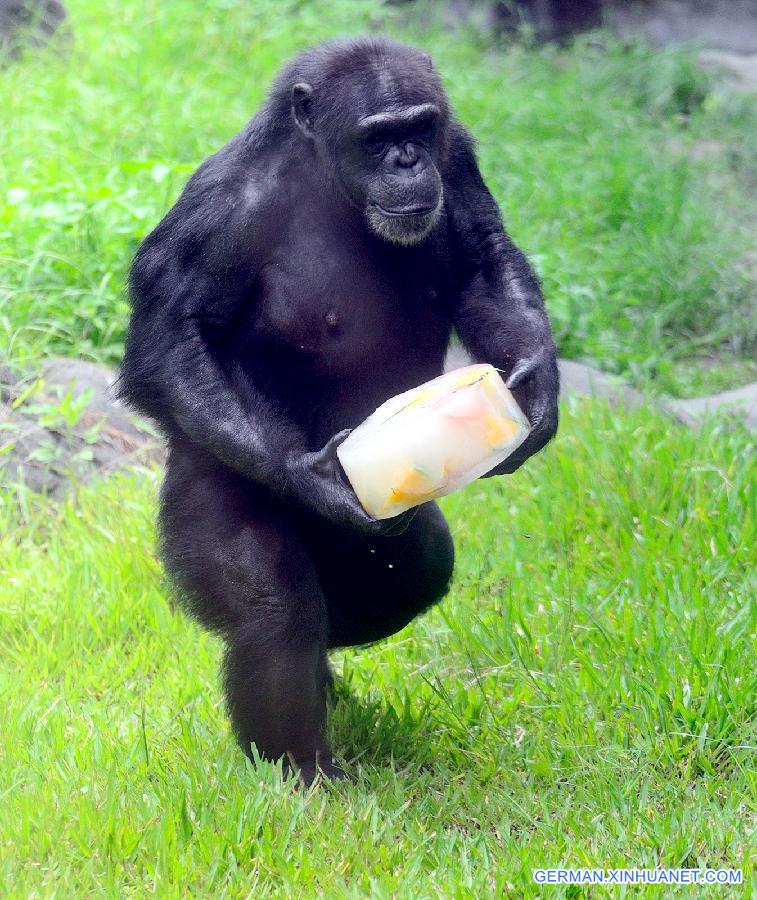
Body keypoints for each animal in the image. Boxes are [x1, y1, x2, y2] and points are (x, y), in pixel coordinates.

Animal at [121, 37, 560, 780]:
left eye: (418, 129)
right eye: (376, 137)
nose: (406, 161)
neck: (330, 178)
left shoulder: (458, 155)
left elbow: (481, 259)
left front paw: (537, 386)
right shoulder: (219, 208)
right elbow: (174, 337)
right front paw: (314, 477)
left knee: (414, 571)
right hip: (202, 483)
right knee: (276, 610)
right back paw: (303, 772)